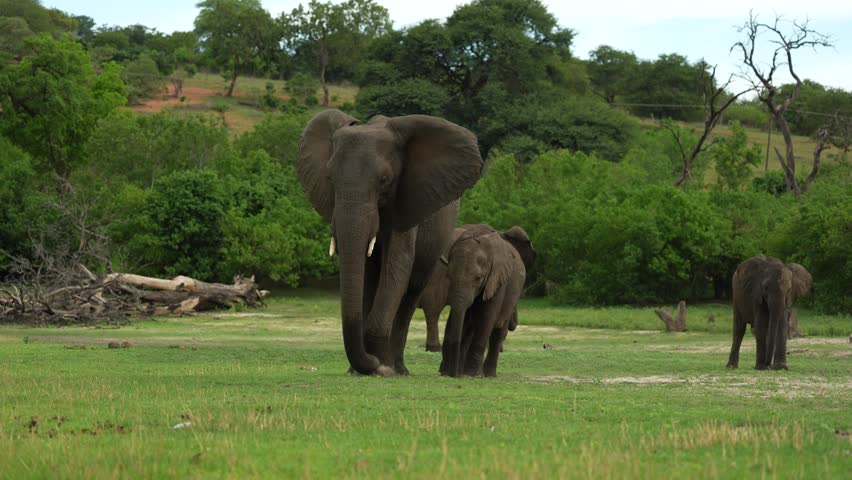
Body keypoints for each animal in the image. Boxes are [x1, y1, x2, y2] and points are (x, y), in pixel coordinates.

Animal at [297, 110, 483, 376]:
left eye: (385, 180)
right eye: (330, 178)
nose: (371, 363)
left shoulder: (407, 202)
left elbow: (397, 266)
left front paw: (380, 369)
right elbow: (366, 275)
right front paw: (363, 369)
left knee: (411, 292)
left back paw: (398, 369)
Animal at [438, 224, 527, 377]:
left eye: (478, 278)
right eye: (448, 276)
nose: (453, 375)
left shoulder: (497, 279)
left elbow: (487, 318)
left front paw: (472, 375)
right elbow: (454, 320)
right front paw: (445, 372)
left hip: (512, 295)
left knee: (497, 333)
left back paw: (489, 375)